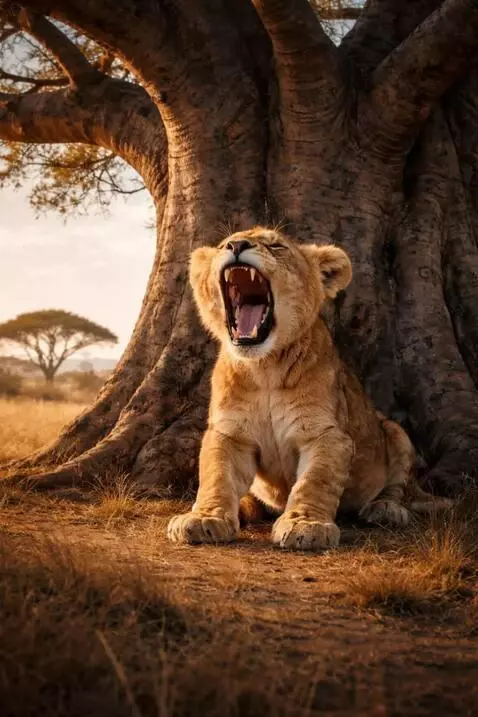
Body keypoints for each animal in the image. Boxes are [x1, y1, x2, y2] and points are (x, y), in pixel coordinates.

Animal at [167, 227, 447, 551]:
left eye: (276, 245)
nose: (236, 245)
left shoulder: (327, 434)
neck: (264, 368)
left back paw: (385, 508)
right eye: (224, 244)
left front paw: (306, 525)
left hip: (395, 432)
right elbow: (216, 476)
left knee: (399, 486)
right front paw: (203, 518)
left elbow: (315, 481)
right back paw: (244, 506)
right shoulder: (229, 433)